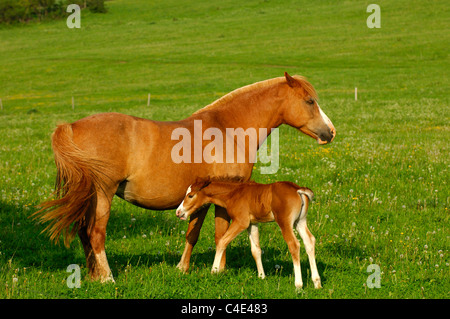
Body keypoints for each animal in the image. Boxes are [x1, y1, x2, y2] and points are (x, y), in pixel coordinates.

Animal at [176, 180, 320, 290]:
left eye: (190, 195)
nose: (178, 212)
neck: (233, 193)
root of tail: (297, 189)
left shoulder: (241, 222)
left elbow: (222, 241)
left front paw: (214, 270)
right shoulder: (252, 224)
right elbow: (256, 250)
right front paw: (262, 276)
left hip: (285, 222)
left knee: (294, 244)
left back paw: (298, 285)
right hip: (299, 222)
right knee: (309, 241)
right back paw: (317, 282)